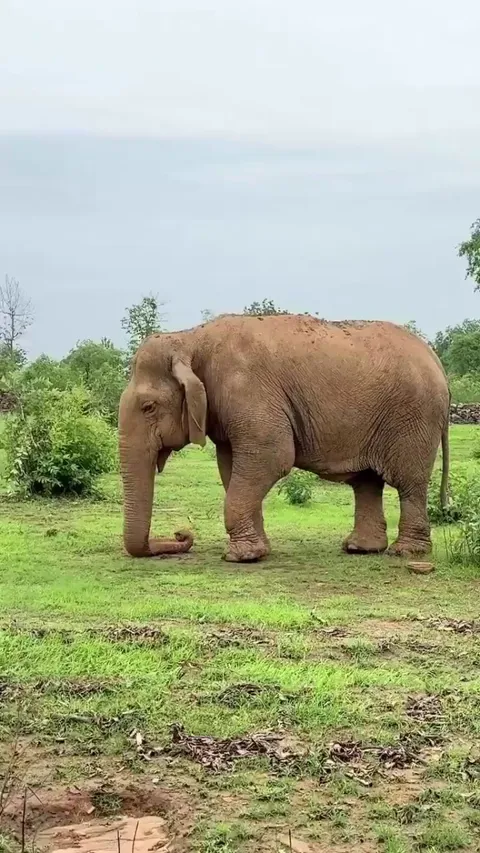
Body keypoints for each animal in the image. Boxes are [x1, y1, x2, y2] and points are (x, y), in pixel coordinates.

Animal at [118, 314, 449, 562]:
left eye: (148, 407)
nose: (182, 534)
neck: (190, 338)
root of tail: (437, 361)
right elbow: (230, 467)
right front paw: (257, 552)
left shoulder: (249, 391)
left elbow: (272, 458)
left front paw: (238, 558)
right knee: (367, 482)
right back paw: (361, 549)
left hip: (414, 417)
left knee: (408, 483)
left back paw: (405, 553)